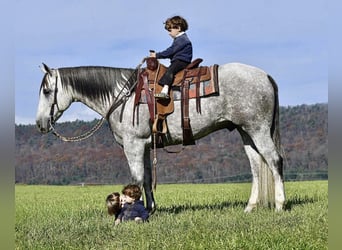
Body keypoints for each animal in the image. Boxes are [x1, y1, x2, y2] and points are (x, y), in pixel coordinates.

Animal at [35, 61, 286, 212]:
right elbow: (146, 179)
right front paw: (150, 208)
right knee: (256, 165)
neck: (122, 96)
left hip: (258, 129)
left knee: (274, 160)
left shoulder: (133, 145)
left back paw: (279, 205)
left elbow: (136, 178)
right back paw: (250, 207)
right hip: (246, 132)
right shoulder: (145, 146)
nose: (40, 124)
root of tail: (265, 76)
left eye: (47, 91)